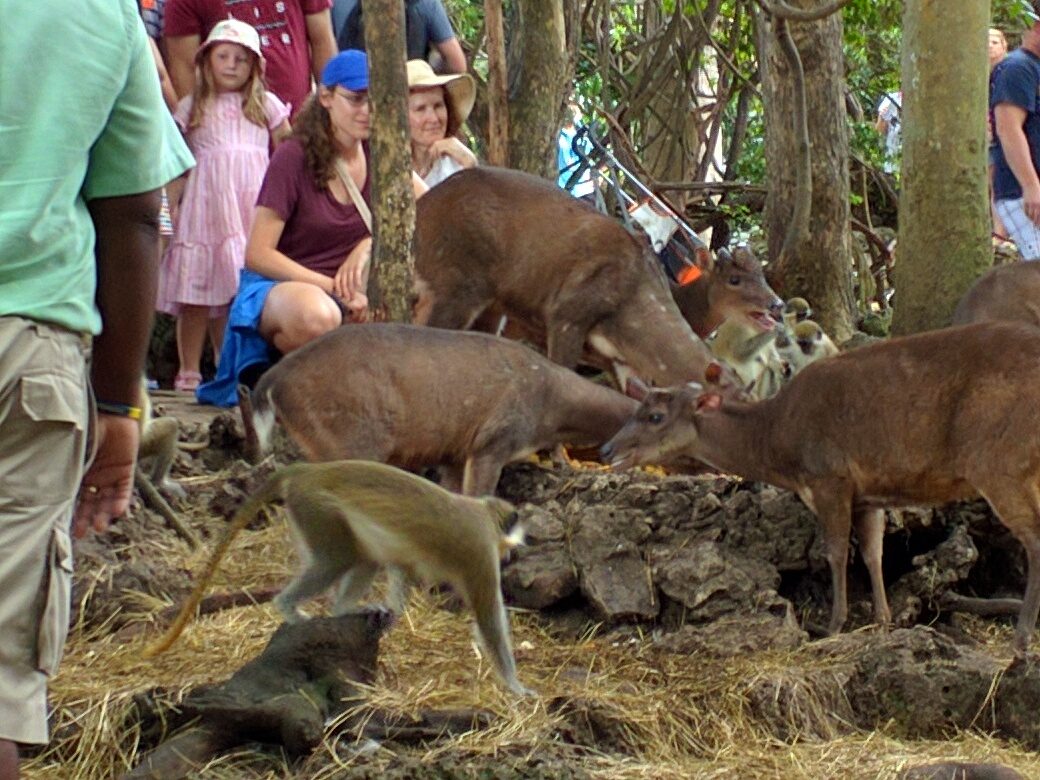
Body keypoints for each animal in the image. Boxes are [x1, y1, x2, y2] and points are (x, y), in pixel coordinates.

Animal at [601, 321, 1040, 656]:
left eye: (655, 416)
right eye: (638, 409)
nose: (607, 450)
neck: (780, 448)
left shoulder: (829, 477)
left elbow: (836, 553)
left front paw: (833, 625)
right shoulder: (868, 494)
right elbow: (873, 553)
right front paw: (883, 622)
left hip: (998, 461)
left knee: (1034, 539)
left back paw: (1021, 640)